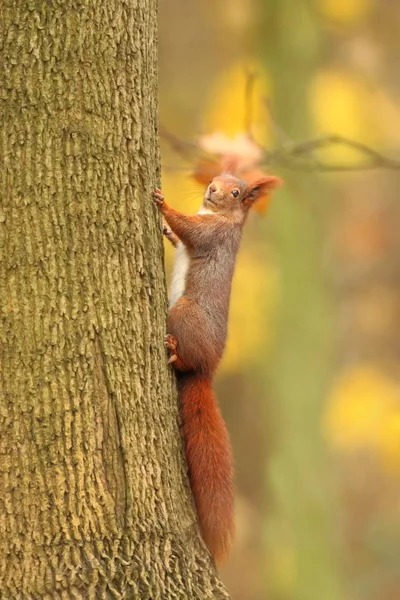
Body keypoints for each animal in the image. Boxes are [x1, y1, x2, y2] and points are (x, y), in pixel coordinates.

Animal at [152, 171, 282, 564]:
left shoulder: (212, 234)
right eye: (217, 177)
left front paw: (164, 205)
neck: (216, 214)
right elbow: (180, 236)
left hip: (183, 313)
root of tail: (207, 370)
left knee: (185, 359)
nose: (212, 189)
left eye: (236, 192)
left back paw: (175, 352)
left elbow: (190, 230)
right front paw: (166, 231)